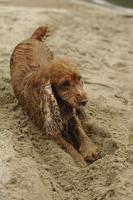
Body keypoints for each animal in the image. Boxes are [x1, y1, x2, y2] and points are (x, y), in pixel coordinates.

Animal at [10, 26, 98, 166]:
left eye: (80, 79)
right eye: (65, 84)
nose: (84, 101)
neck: (61, 103)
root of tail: (32, 38)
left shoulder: (70, 116)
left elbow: (80, 130)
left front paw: (89, 149)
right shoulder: (50, 129)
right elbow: (68, 146)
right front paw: (79, 161)